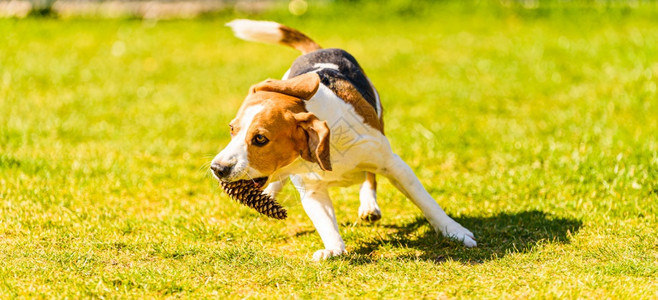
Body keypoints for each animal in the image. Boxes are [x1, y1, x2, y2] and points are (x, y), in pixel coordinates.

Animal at [213, 19, 474, 260]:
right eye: (232, 129)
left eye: (260, 138)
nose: (217, 168)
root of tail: (317, 51)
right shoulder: (312, 190)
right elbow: (326, 225)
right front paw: (333, 249)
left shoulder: (395, 165)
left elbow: (427, 203)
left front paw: (455, 232)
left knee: (370, 177)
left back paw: (369, 203)